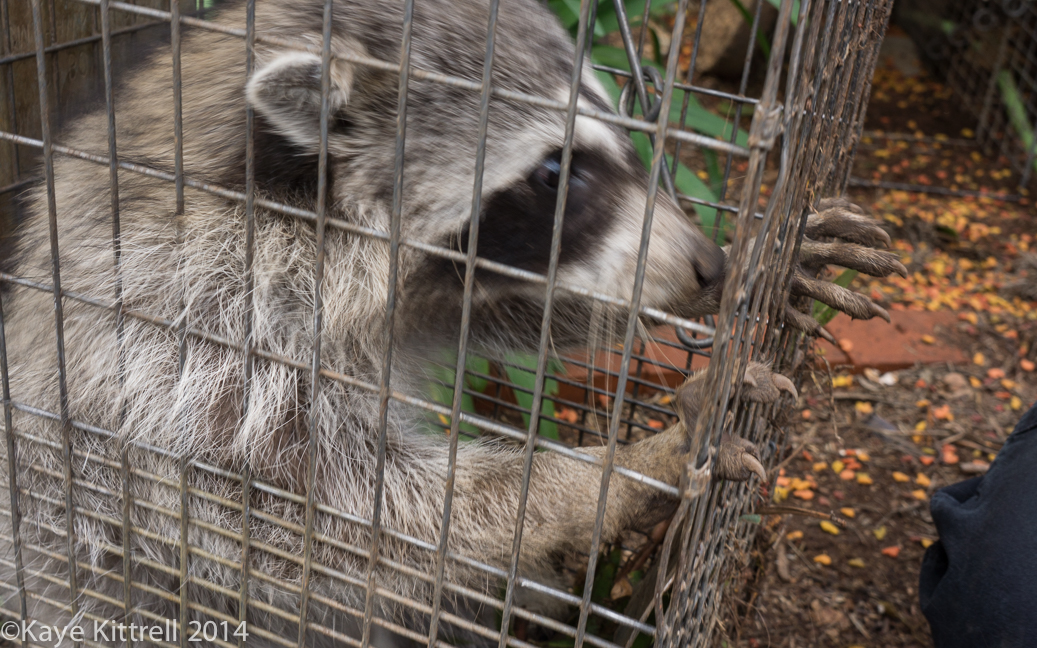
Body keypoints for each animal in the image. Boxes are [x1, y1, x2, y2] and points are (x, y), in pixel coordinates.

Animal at [0, 0, 904, 644]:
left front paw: (760, 271)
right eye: (554, 172)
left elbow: (498, 305)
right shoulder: (184, 344)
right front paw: (620, 472)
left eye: (621, 141)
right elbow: (336, 523)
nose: (706, 265)